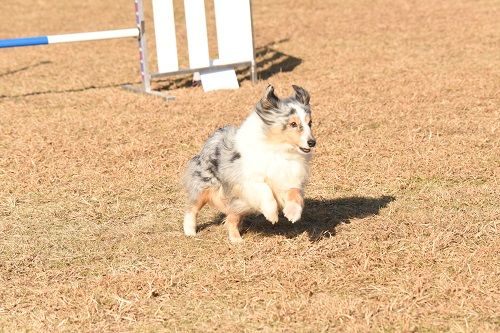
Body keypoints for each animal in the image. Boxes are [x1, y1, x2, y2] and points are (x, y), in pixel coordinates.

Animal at [184, 84, 316, 243]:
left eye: (310, 123)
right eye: (293, 124)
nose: (312, 142)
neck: (280, 149)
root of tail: (215, 135)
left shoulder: (287, 178)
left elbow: (294, 192)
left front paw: (293, 213)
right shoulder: (246, 180)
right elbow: (265, 189)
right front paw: (271, 214)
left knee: (232, 218)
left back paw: (236, 238)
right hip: (206, 185)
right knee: (192, 208)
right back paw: (190, 231)